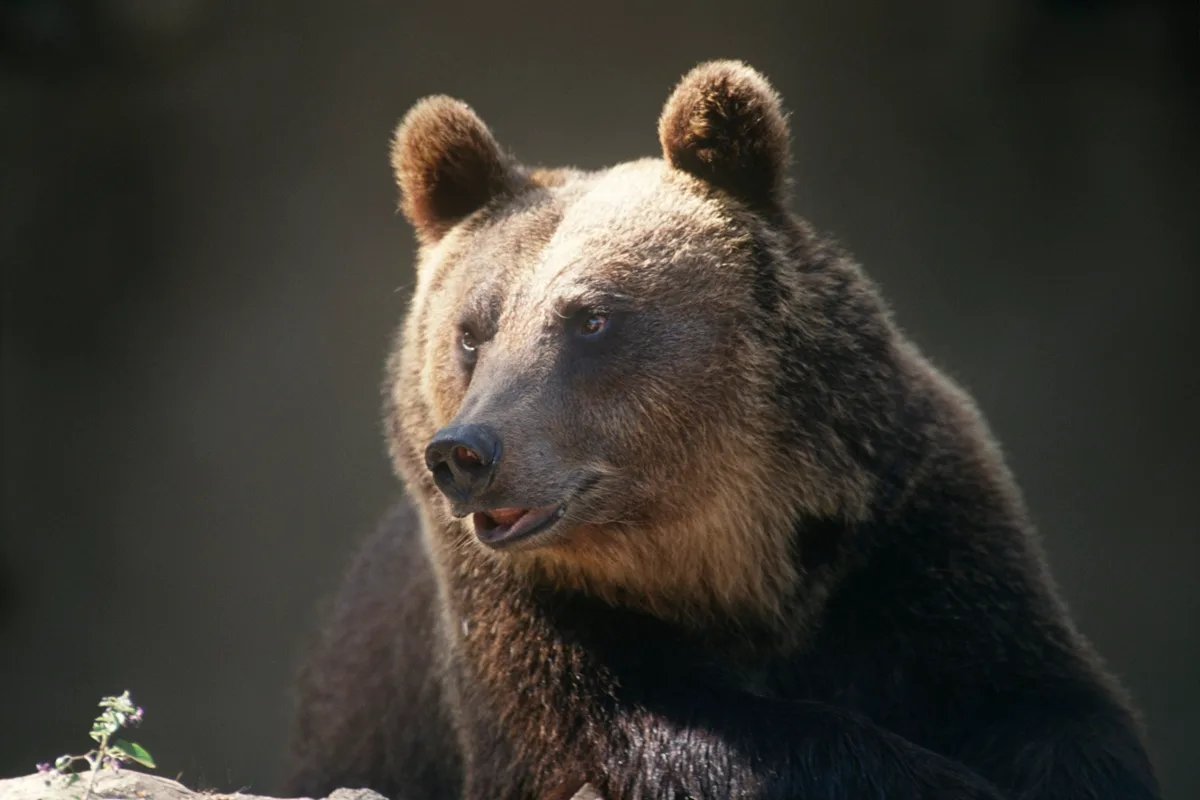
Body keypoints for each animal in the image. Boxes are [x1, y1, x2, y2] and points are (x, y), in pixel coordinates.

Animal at [284, 61, 1160, 800]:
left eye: (591, 319)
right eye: (472, 331)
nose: (466, 453)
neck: (723, 550)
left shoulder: (906, 530)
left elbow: (1043, 701)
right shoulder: (519, 612)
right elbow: (640, 736)